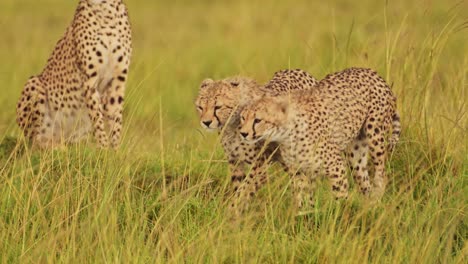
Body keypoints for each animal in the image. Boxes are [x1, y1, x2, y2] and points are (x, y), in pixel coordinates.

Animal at [16, 0, 132, 148]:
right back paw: (56, 148)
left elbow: (116, 122)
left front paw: (115, 151)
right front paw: (103, 149)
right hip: (34, 83)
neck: (106, 10)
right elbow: (98, 119)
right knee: (36, 143)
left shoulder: (118, 81)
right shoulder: (89, 80)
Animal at [194, 69, 318, 213]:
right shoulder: (235, 161)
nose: (206, 122)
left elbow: (244, 190)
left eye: (218, 107)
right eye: (200, 107)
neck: (231, 124)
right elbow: (239, 187)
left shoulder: (260, 165)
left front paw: (231, 211)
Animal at [239, 68, 400, 210]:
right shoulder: (299, 171)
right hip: (355, 154)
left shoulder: (336, 166)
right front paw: (304, 216)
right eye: (242, 117)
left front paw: (339, 215)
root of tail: (371, 72)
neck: (286, 135)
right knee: (364, 181)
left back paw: (376, 199)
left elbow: (340, 196)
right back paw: (369, 206)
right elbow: (303, 198)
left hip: (375, 133)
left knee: (381, 174)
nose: (243, 133)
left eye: (258, 120)